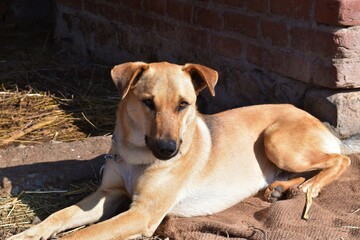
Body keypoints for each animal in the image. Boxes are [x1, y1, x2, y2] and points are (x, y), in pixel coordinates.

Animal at [9, 62, 350, 240]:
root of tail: (313, 118)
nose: (169, 150)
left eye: (184, 105)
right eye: (148, 103)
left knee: (341, 159)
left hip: (275, 139)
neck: (135, 155)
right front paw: (28, 234)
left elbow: (79, 234)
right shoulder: (108, 194)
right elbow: (59, 215)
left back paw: (310, 187)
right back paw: (281, 189)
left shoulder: (142, 213)